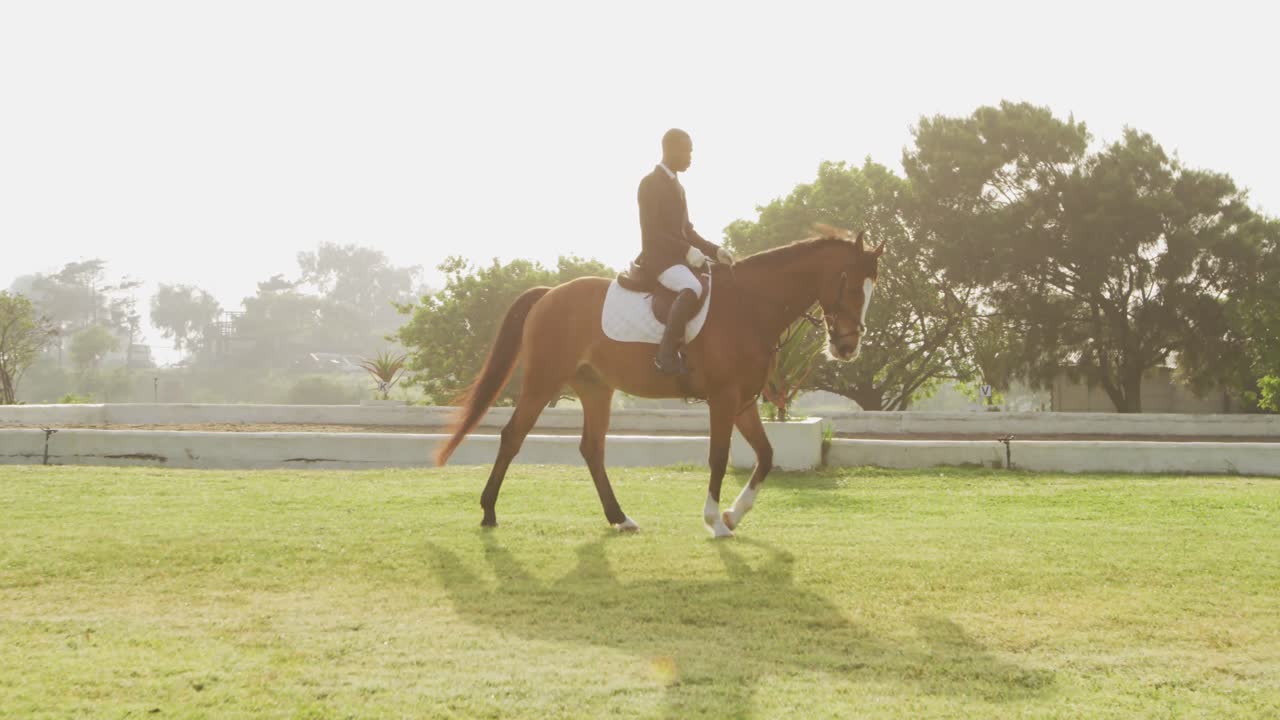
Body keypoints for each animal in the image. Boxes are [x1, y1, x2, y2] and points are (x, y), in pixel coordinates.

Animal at [435, 226, 885, 536]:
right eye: (848, 282)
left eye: (870, 287)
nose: (847, 347)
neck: (750, 306)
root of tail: (549, 294)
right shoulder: (723, 399)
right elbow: (719, 457)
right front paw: (714, 520)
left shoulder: (742, 401)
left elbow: (767, 455)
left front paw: (732, 515)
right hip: (543, 380)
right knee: (513, 436)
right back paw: (489, 512)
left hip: (596, 388)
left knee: (592, 449)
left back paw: (620, 518)